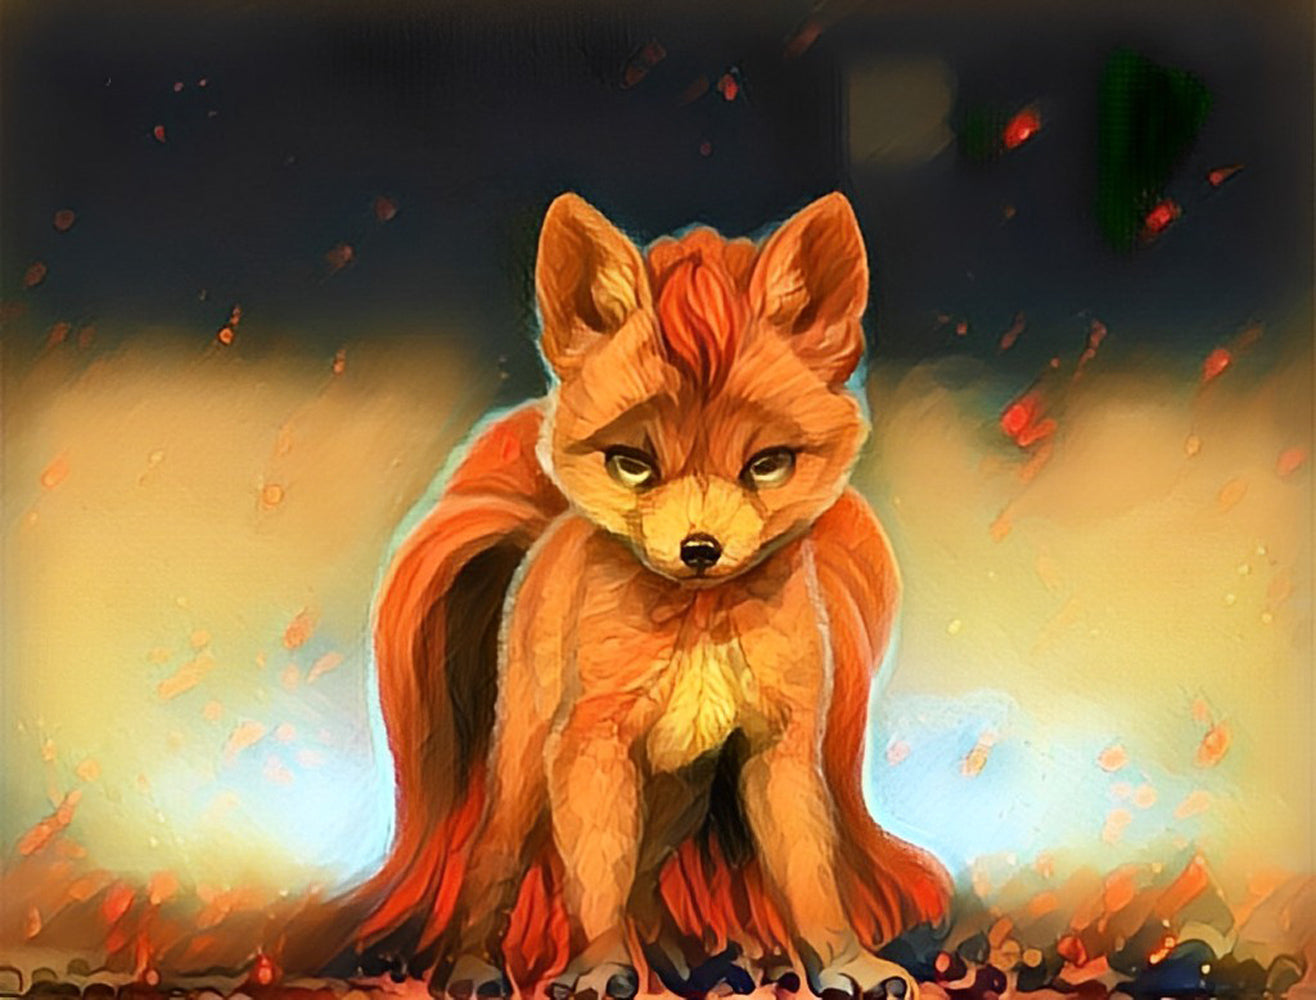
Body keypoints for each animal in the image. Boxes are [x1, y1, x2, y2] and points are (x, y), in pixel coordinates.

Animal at [333, 192, 951, 1000]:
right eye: (631, 463)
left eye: (768, 465)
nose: (700, 549)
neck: (699, 622)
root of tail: (549, 531)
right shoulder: (590, 746)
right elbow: (593, 880)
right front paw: (598, 966)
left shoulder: (778, 751)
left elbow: (810, 877)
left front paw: (845, 959)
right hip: (528, 770)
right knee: (499, 865)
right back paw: (475, 964)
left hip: (678, 796)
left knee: (647, 882)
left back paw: (693, 957)